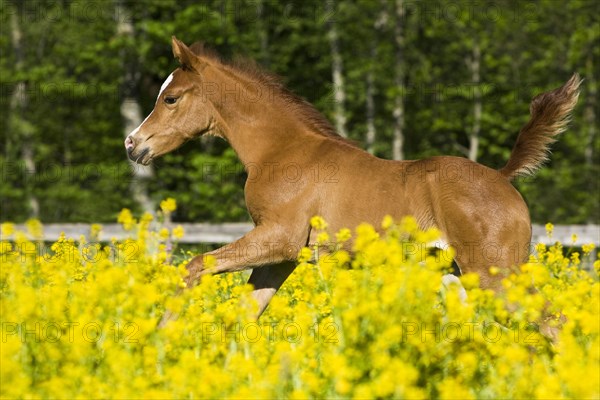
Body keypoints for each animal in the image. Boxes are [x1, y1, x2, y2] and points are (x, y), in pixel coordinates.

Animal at [124, 36, 580, 320]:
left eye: (170, 98)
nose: (133, 144)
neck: (280, 150)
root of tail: (503, 178)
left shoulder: (277, 238)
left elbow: (194, 266)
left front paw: (164, 335)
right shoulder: (282, 257)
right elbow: (245, 311)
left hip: (495, 273)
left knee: (551, 323)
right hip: (458, 276)